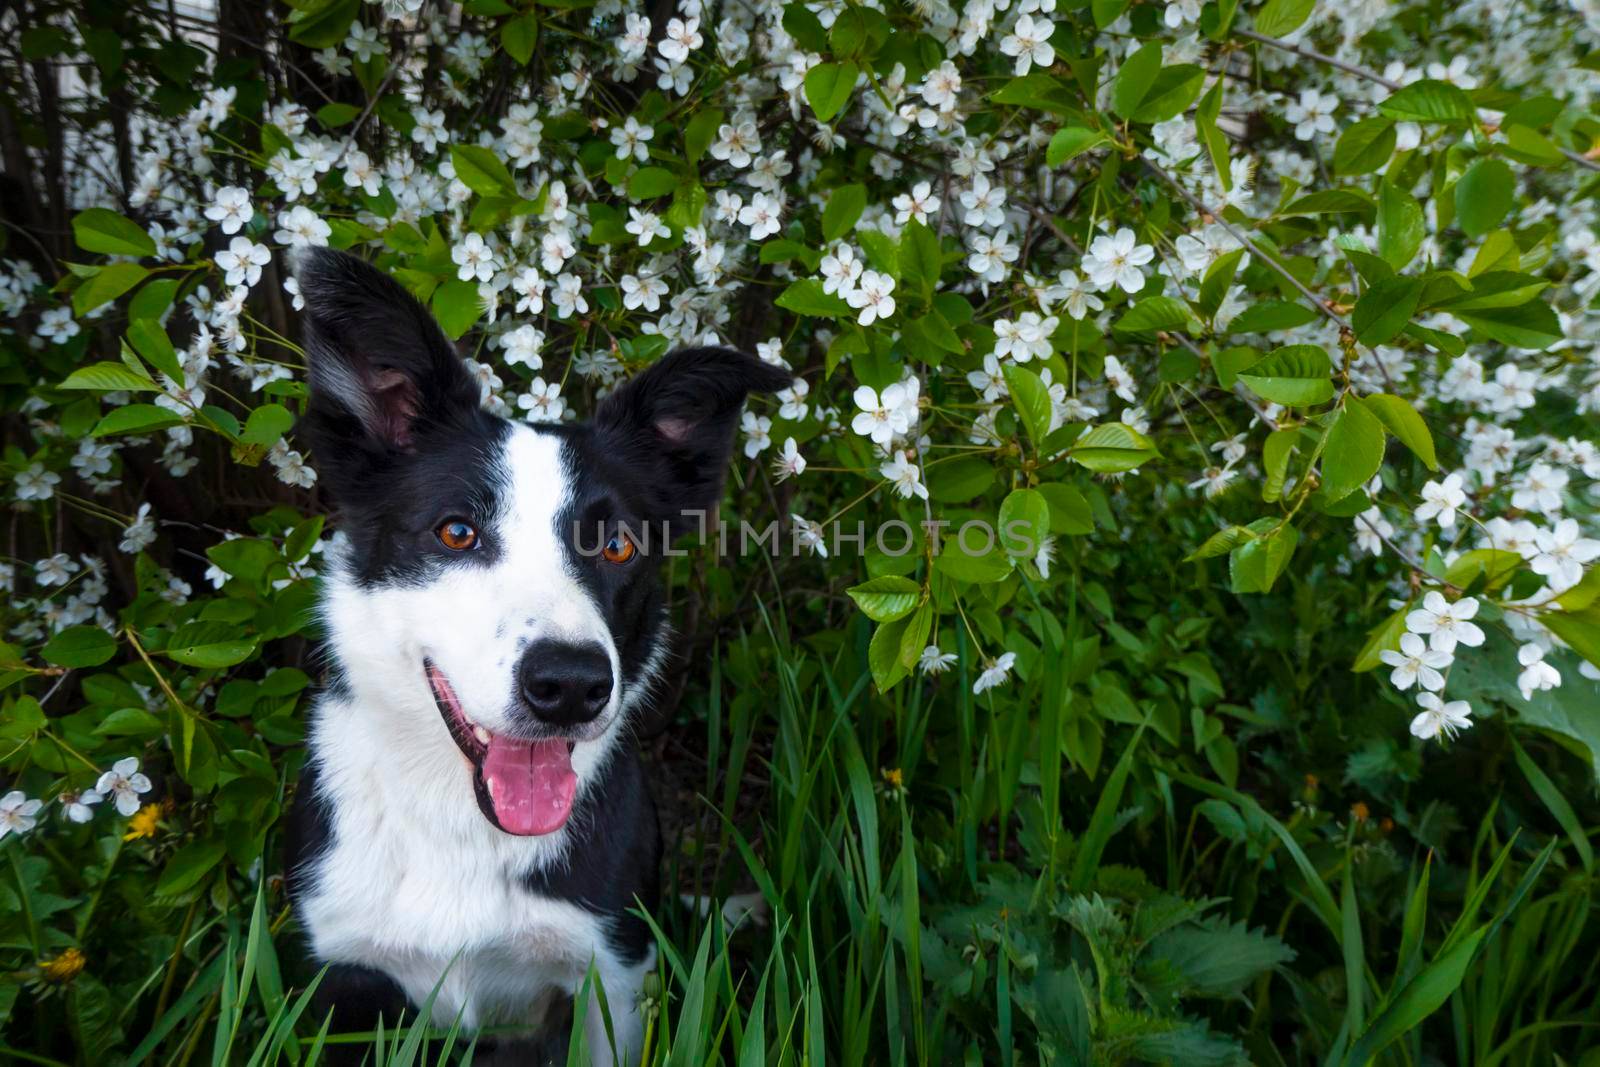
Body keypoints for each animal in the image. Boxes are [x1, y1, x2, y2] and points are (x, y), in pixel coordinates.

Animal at [286, 247, 787, 1062]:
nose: (571, 685)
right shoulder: (345, 976)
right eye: (457, 531)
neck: (460, 823)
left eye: (617, 545)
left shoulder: (609, 978)